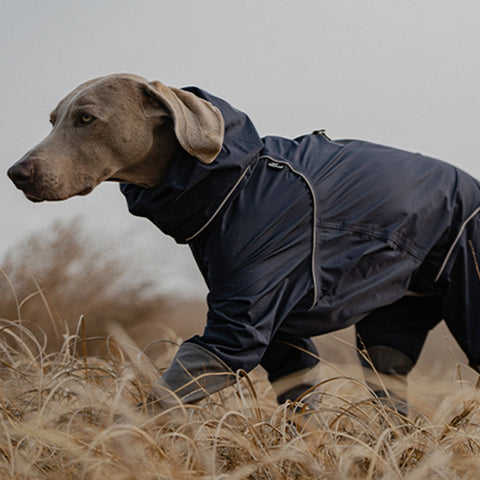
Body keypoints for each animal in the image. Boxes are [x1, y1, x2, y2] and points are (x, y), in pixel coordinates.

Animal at [8, 73, 480, 410]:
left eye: (86, 119)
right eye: (53, 121)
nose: (16, 173)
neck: (237, 179)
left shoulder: (238, 325)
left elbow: (173, 389)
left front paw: (120, 438)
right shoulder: (280, 334)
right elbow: (298, 396)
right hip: (389, 332)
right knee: (392, 387)